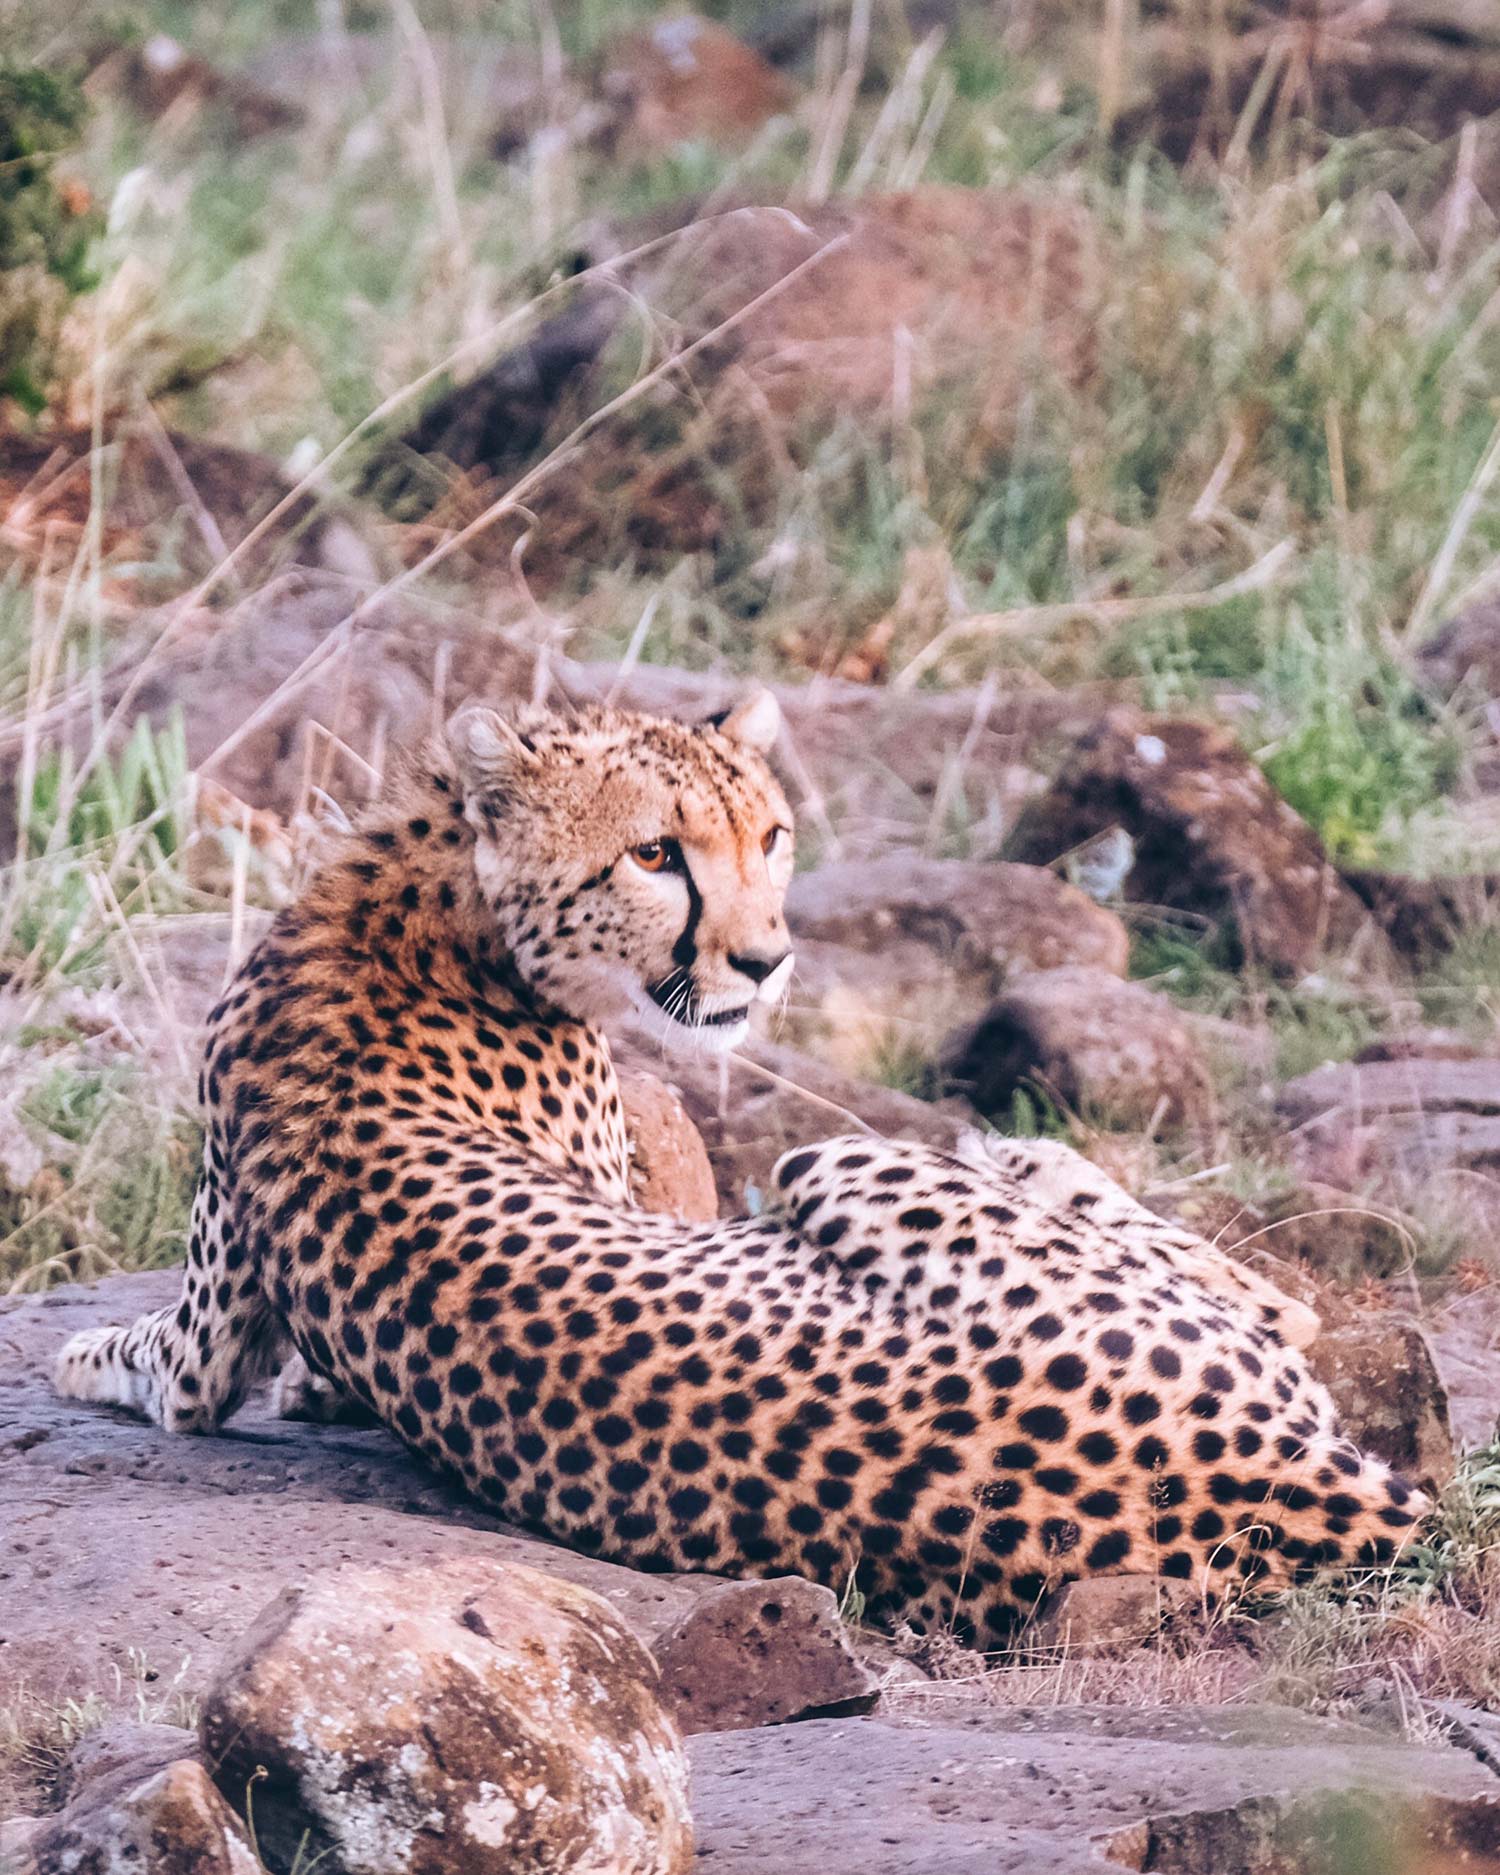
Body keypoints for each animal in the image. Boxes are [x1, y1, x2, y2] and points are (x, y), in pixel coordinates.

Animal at [54, 690, 1423, 1642]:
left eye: (770, 835)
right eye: (655, 854)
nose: (766, 962)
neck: (431, 901)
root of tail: (1294, 1491)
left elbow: (168, 1367)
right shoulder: (214, 1346)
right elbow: (170, 1374)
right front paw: (93, 1356)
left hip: (844, 1163)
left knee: (1268, 1296)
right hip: (850, 1164)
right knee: (1272, 1301)